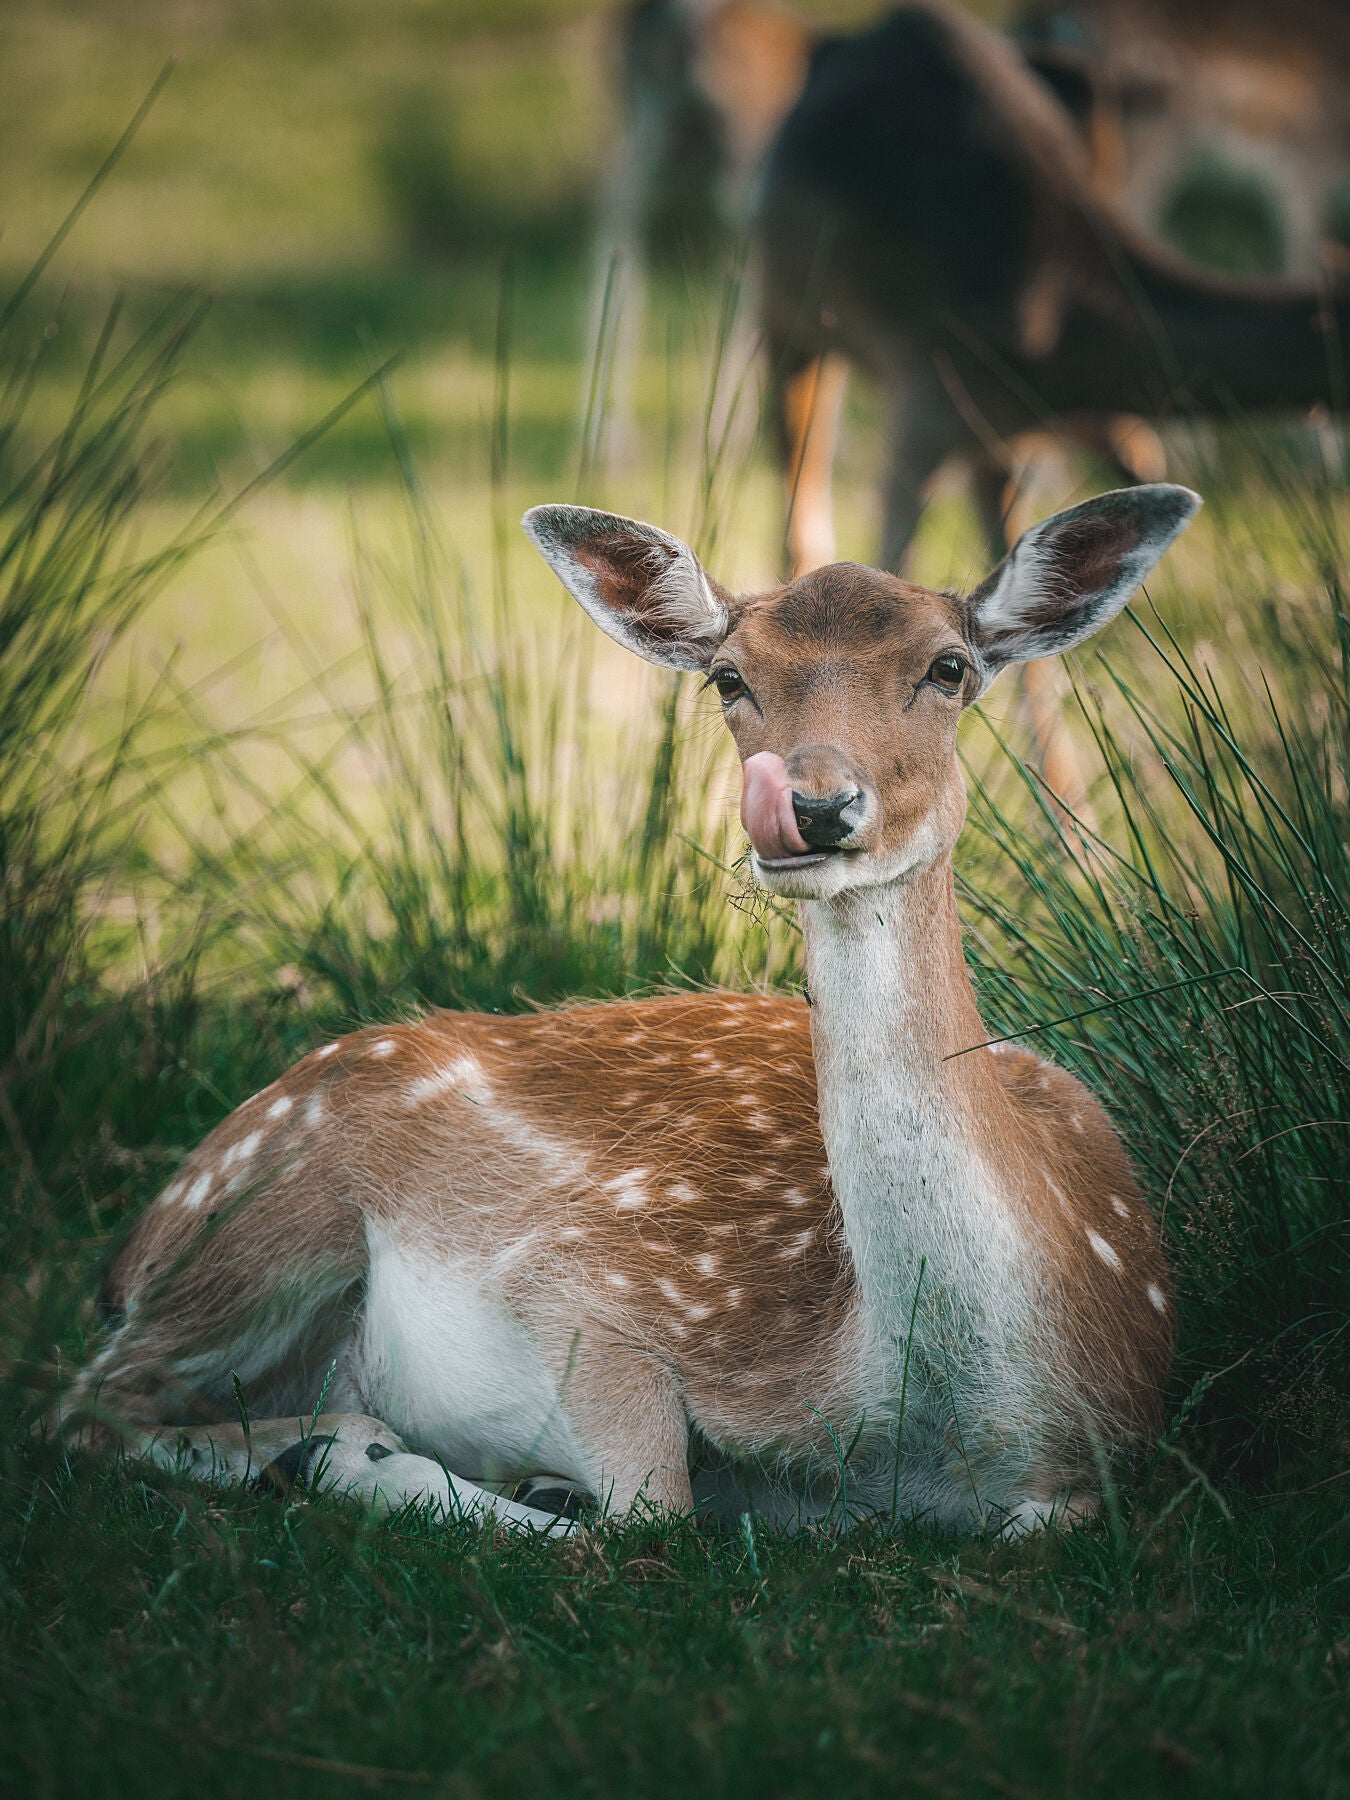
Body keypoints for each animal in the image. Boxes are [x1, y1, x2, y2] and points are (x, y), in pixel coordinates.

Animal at [68, 486, 1202, 1540]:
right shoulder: (590, 1286)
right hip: (271, 1211)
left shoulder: (1103, 1459)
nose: (813, 805)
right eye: (728, 677)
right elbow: (652, 1511)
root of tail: (131, 1245)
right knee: (86, 1406)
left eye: (950, 667)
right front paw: (419, 1472)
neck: (918, 1413)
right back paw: (336, 1452)